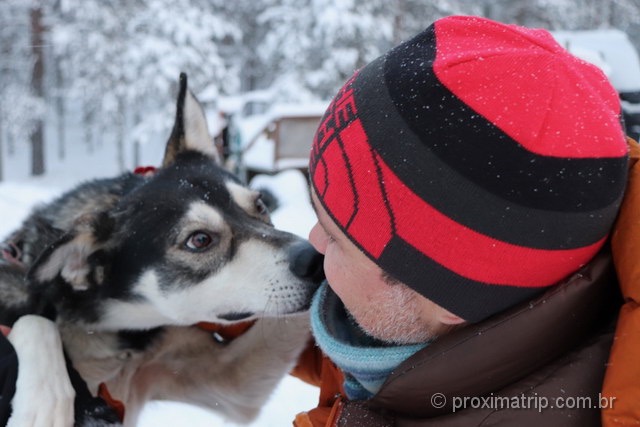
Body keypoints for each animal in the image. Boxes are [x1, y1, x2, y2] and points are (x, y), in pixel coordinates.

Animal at [0, 74, 320, 427]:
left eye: (260, 204)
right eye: (199, 240)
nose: (314, 258)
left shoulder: (229, 381)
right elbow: (35, 321)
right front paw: (45, 398)